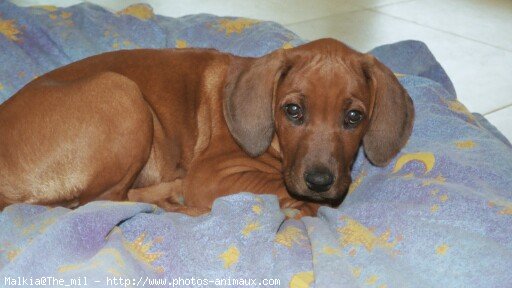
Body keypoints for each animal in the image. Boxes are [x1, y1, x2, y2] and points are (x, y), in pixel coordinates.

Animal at [0, 38, 412, 218]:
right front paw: (302, 205)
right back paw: (174, 199)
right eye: (292, 111)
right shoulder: (213, 175)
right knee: (98, 202)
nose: (320, 182)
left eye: (354, 117)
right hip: (121, 94)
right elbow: (278, 188)